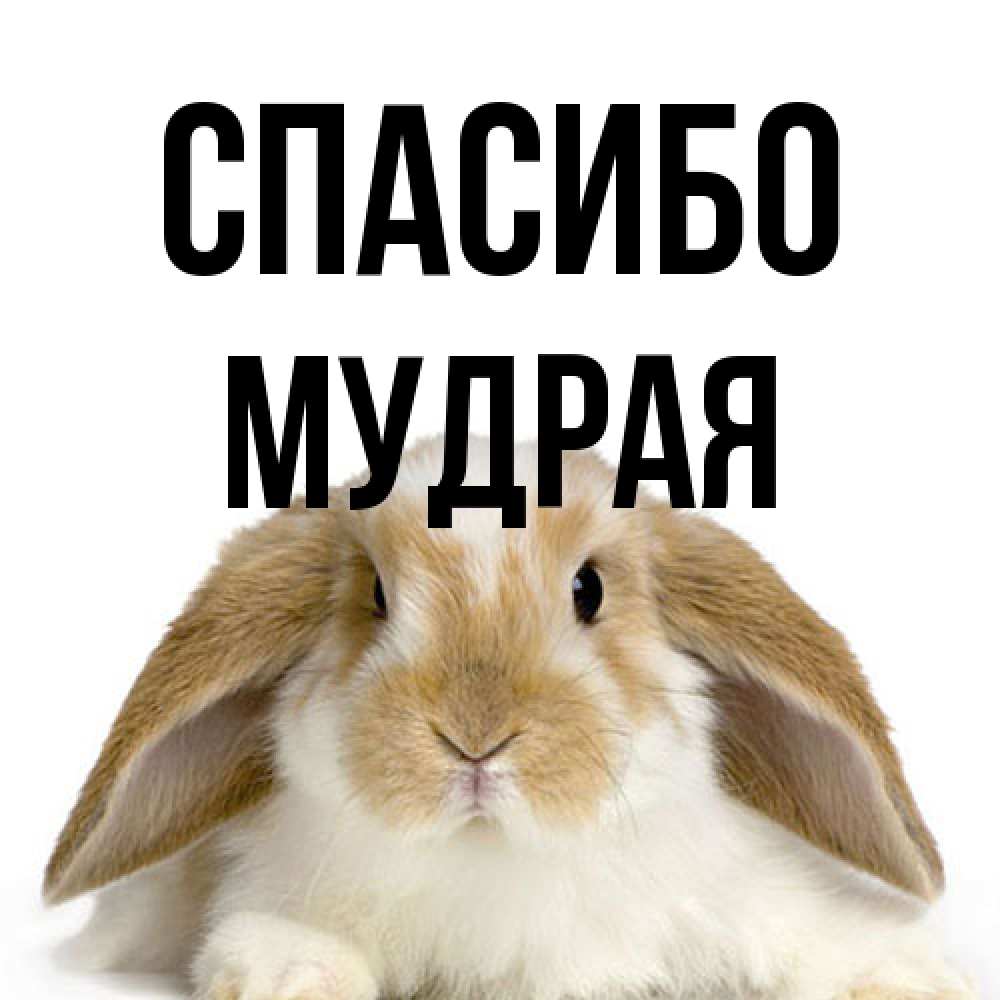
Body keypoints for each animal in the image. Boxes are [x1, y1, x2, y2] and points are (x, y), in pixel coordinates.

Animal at [45, 437, 975, 1000]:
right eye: (376, 596)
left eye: (589, 589)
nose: (475, 737)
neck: (495, 857)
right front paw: (289, 977)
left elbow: (818, 940)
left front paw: (909, 978)